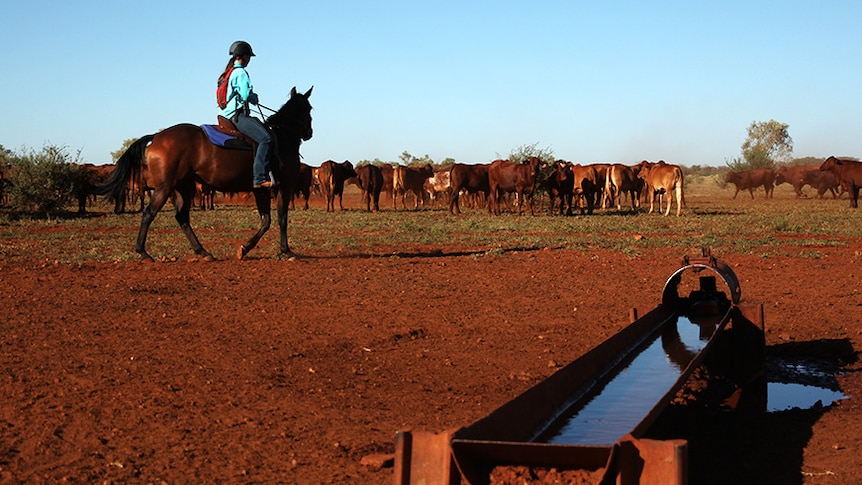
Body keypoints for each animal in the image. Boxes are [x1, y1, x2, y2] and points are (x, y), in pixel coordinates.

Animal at [98, 87, 314, 260]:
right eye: (309, 108)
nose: (309, 133)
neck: (282, 136)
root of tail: (157, 137)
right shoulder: (284, 186)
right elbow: (281, 219)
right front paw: (286, 251)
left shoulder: (260, 190)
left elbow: (266, 221)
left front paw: (244, 249)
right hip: (165, 188)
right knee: (149, 213)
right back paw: (143, 252)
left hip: (183, 187)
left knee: (182, 217)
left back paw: (202, 252)